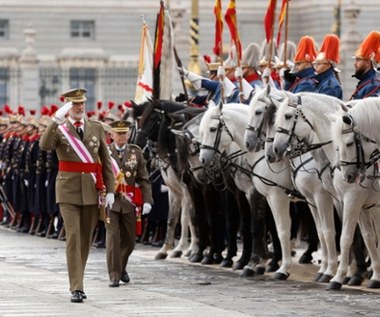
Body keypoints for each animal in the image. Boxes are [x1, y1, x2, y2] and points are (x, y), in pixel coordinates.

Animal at [199, 102, 294, 278]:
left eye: (213, 129)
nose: (203, 160)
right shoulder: (250, 194)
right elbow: (255, 226)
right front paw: (258, 262)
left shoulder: (256, 193)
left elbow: (255, 226)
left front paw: (252, 263)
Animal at [245, 86, 336, 282]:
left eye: (259, 112)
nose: (272, 154)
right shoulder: (293, 199)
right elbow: (280, 229)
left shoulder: (314, 197)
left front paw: (281, 267)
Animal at [272, 93, 380, 288]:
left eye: (288, 116)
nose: (274, 150)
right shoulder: (344, 201)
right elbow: (361, 236)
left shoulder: (345, 199)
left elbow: (344, 237)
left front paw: (338, 276)